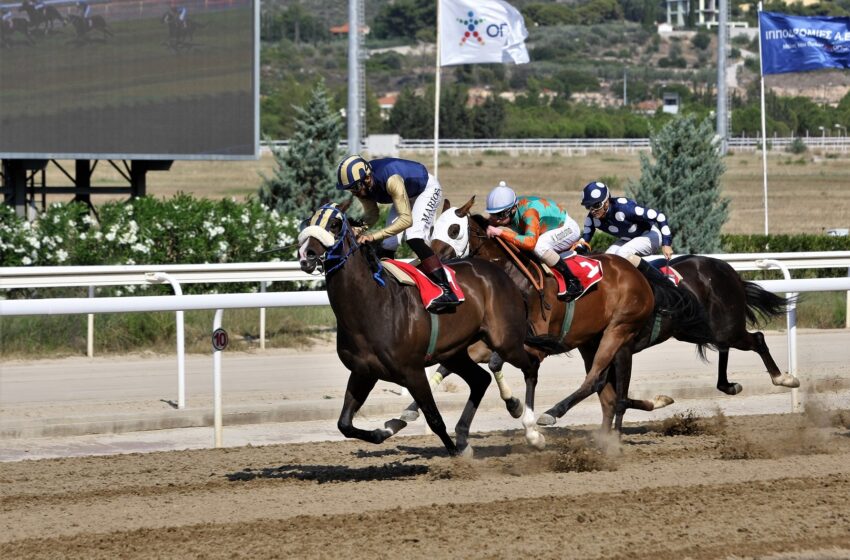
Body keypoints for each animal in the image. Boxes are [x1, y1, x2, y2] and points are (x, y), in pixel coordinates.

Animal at [298, 201, 564, 456]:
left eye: (334, 224)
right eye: (307, 222)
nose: (306, 255)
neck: (372, 304)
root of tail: (500, 273)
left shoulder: (412, 372)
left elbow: (434, 419)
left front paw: (458, 453)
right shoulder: (364, 372)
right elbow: (344, 424)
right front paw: (385, 430)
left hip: (505, 341)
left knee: (530, 366)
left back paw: (532, 432)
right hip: (454, 352)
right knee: (481, 379)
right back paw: (467, 433)